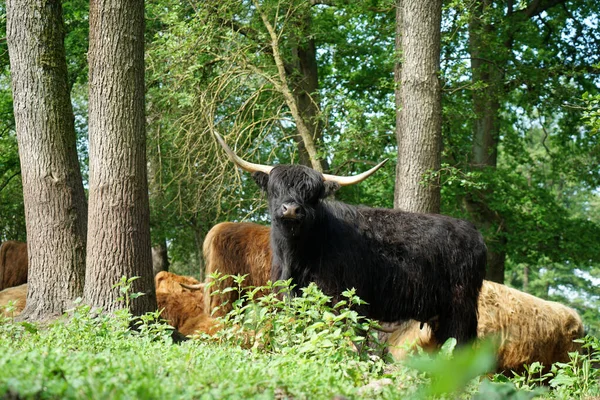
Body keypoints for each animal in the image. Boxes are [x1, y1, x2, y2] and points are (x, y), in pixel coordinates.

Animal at [216, 132, 488, 344]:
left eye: (313, 194)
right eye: (275, 189)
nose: (291, 209)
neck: (297, 255)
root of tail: (473, 232)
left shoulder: (344, 298)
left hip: (460, 307)